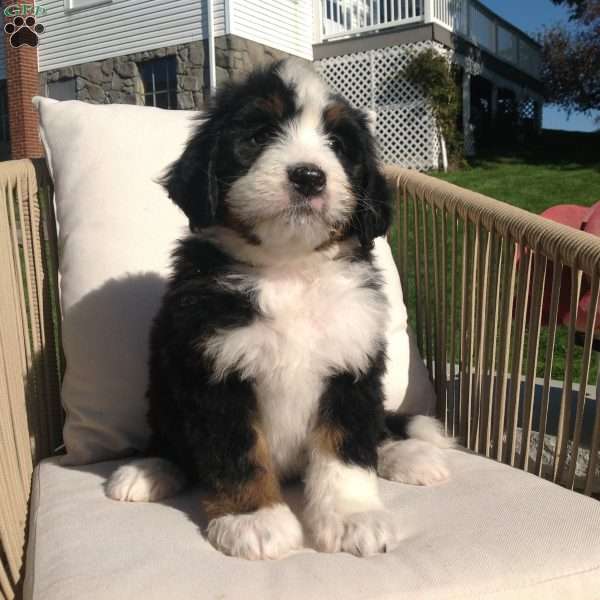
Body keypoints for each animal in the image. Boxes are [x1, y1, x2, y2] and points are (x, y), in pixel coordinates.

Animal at [105, 58, 452, 560]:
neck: (289, 270)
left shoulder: (350, 366)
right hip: (164, 388)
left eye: (338, 146)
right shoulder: (214, 372)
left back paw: (409, 454)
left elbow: (347, 447)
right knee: (171, 440)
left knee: (377, 431)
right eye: (258, 136)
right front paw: (255, 520)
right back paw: (149, 470)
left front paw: (353, 517)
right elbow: (238, 453)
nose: (308, 176)